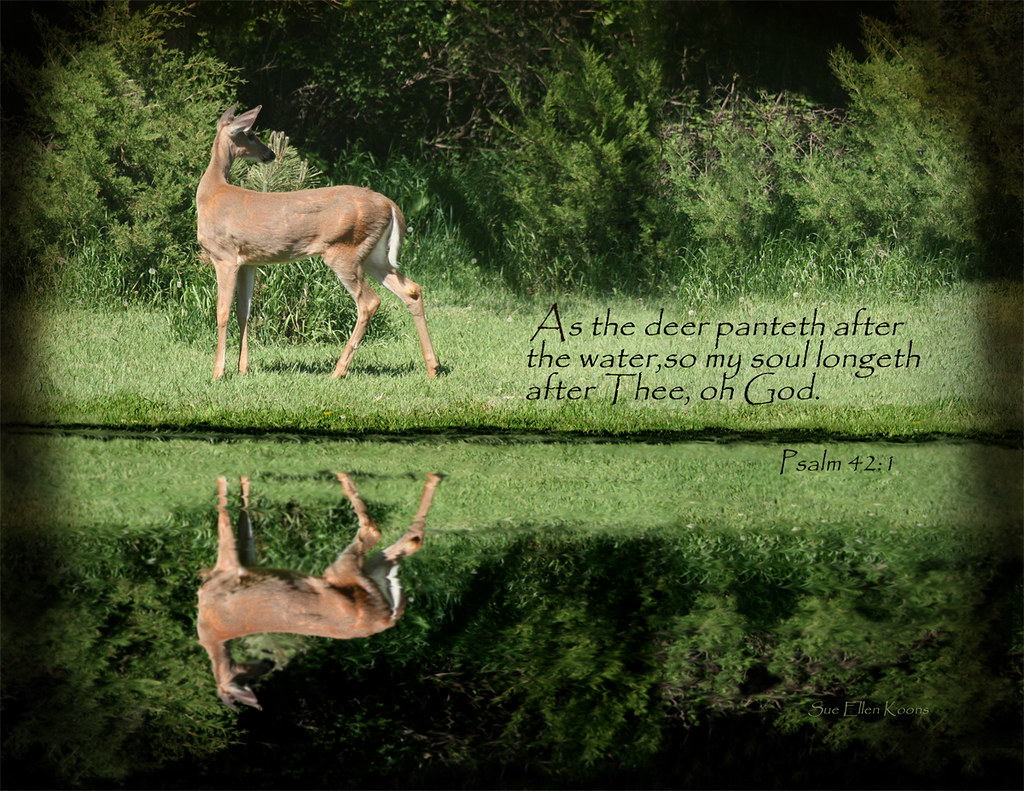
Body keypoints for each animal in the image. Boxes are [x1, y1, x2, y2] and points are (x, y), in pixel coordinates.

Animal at [196, 104, 439, 381]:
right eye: (251, 134)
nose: (270, 153)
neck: (212, 192)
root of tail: (389, 204)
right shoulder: (248, 261)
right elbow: (243, 312)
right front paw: (243, 369)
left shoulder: (224, 255)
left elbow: (222, 312)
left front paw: (218, 372)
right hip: (373, 255)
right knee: (412, 290)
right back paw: (433, 367)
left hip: (344, 250)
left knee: (369, 302)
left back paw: (339, 370)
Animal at [197, 471, 442, 711]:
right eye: (252, 682)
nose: (268, 664)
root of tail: (387, 618)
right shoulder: (243, 565)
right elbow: (244, 527)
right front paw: (242, 482)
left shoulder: (231, 569)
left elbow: (226, 521)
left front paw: (227, 480)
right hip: (369, 574)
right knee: (410, 541)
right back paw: (431, 478)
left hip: (345, 570)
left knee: (376, 530)